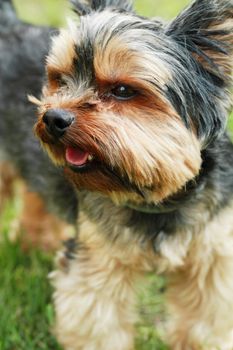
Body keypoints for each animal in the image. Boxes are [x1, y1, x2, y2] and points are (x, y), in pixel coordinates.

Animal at [18, 0, 233, 348]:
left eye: (122, 90)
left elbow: (205, 321)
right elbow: (98, 323)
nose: (53, 118)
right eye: (60, 79)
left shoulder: (212, 257)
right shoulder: (97, 260)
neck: (157, 195)